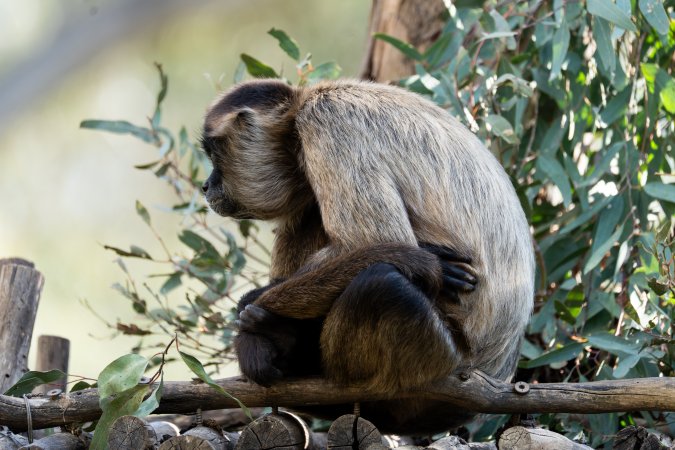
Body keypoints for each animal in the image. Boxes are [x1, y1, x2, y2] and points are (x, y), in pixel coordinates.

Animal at [200, 79, 535, 433]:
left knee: (382, 284)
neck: (306, 101)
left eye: (214, 154)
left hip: (438, 358)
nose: (206, 185)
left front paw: (249, 305)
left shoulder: (326, 120)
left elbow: (370, 240)